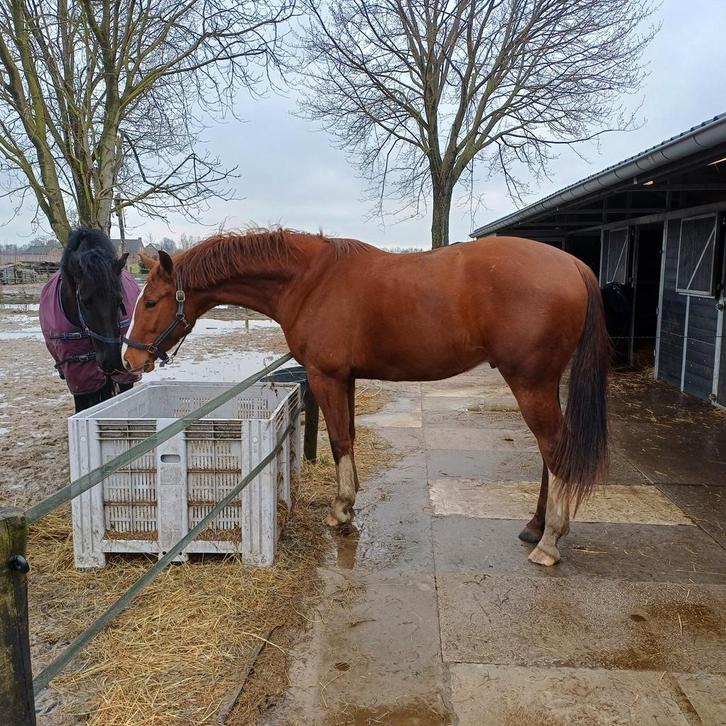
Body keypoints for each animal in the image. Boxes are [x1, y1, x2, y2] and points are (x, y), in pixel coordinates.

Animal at [122, 228, 610, 567]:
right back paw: (535, 526)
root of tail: (573, 265)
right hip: (540, 385)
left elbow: (340, 441)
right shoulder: (348, 379)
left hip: (530, 384)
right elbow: (350, 438)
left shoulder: (326, 377)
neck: (310, 280)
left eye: (151, 302)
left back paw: (549, 541)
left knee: (555, 450)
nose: (130, 358)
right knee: (550, 454)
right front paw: (350, 504)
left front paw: (340, 511)